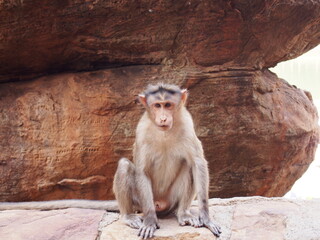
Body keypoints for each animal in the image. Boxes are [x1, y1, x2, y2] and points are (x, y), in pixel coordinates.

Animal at [113, 82, 222, 238]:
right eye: (157, 105)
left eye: (168, 105)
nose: (163, 118)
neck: (164, 133)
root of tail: (161, 203)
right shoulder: (141, 130)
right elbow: (142, 171)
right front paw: (150, 221)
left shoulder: (188, 125)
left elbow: (197, 163)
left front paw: (206, 218)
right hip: (139, 201)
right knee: (124, 165)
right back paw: (129, 216)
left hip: (171, 199)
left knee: (189, 166)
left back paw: (183, 213)